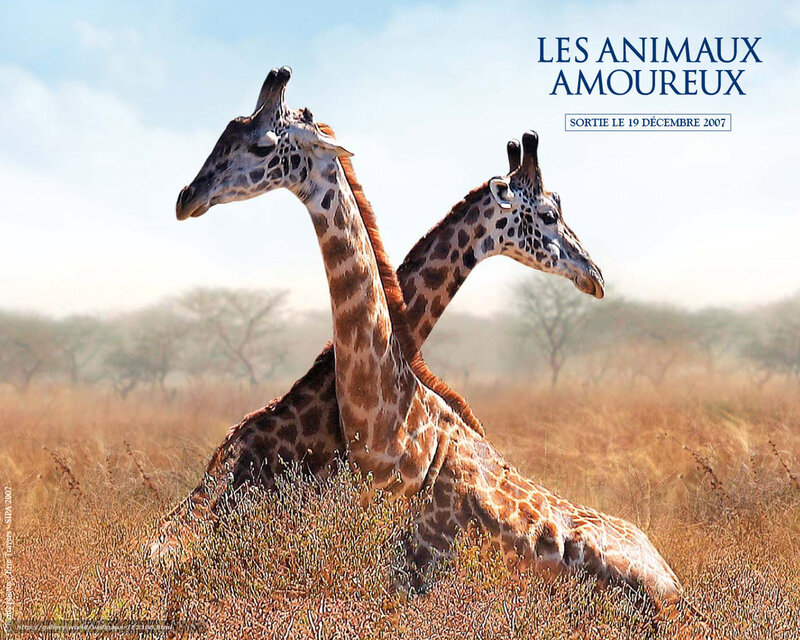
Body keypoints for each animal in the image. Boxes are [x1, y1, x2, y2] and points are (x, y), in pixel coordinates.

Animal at [172, 67, 686, 613]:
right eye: (548, 215)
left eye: (261, 144)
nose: (187, 196)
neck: (397, 421)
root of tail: (673, 583)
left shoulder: (414, 562)